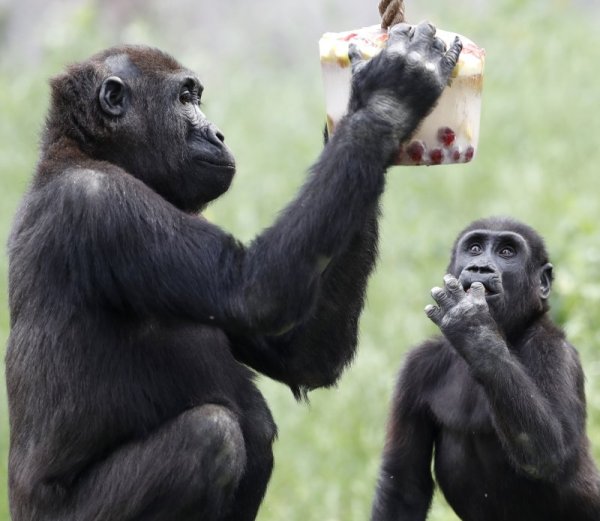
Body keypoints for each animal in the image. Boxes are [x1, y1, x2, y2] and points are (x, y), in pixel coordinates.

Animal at [4, 22, 462, 516]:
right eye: (185, 98)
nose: (217, 134)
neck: (87, 151)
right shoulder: (102, 204)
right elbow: (252, 292)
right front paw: (391, 95)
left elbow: (302, 357)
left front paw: (349, 112)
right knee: (212, 436)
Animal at [370, 216, 600, 520]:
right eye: (475, 248)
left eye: (507, 252)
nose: (480, 267)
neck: (511, 331)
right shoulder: (417, 366)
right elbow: (403, 484)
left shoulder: (553, 349)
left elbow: (551, 453)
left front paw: (473, 329)